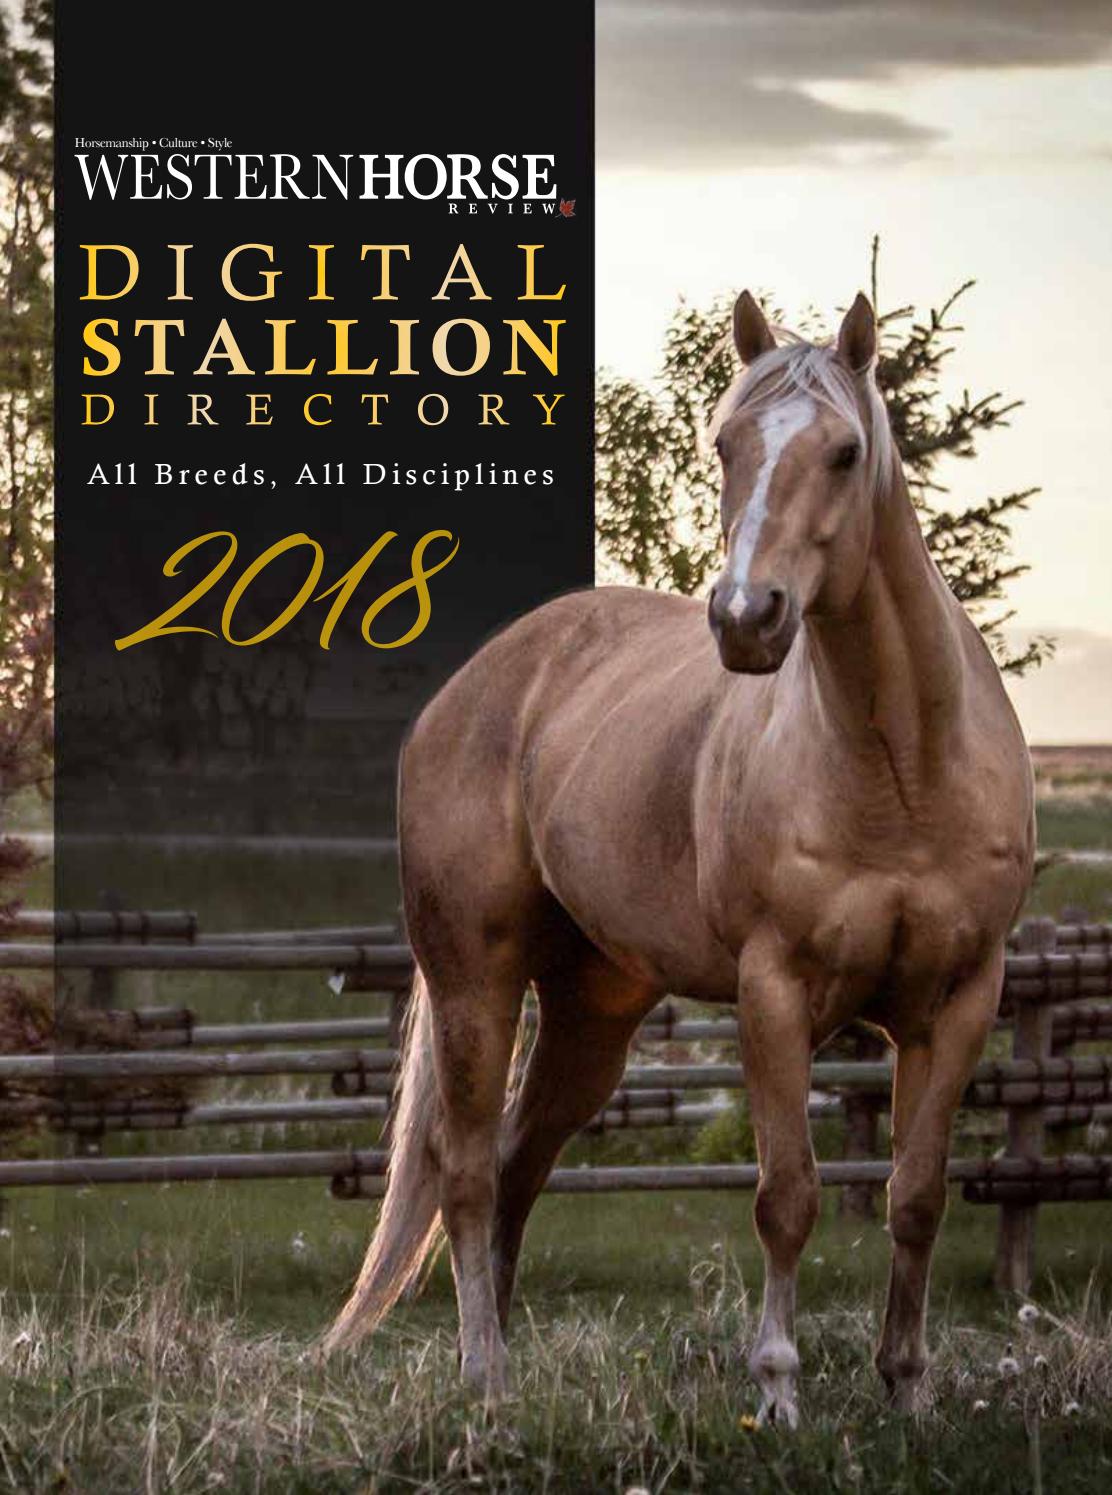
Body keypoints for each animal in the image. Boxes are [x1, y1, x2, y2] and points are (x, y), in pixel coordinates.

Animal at [324, 290, 1035, 1425]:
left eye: (844, 452)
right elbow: (786, 1196)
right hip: (476, 977)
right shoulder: (774, 992)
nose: (746, 620)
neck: (905, 770)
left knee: (519, 1161)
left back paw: (508, 1364)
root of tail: (480, 680)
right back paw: (485, 1377)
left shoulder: (961, 998)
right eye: (724, 442)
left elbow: (917, 1197)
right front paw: (778, 1393)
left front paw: (908, 1390)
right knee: (467, 1169)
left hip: (593, 1009)